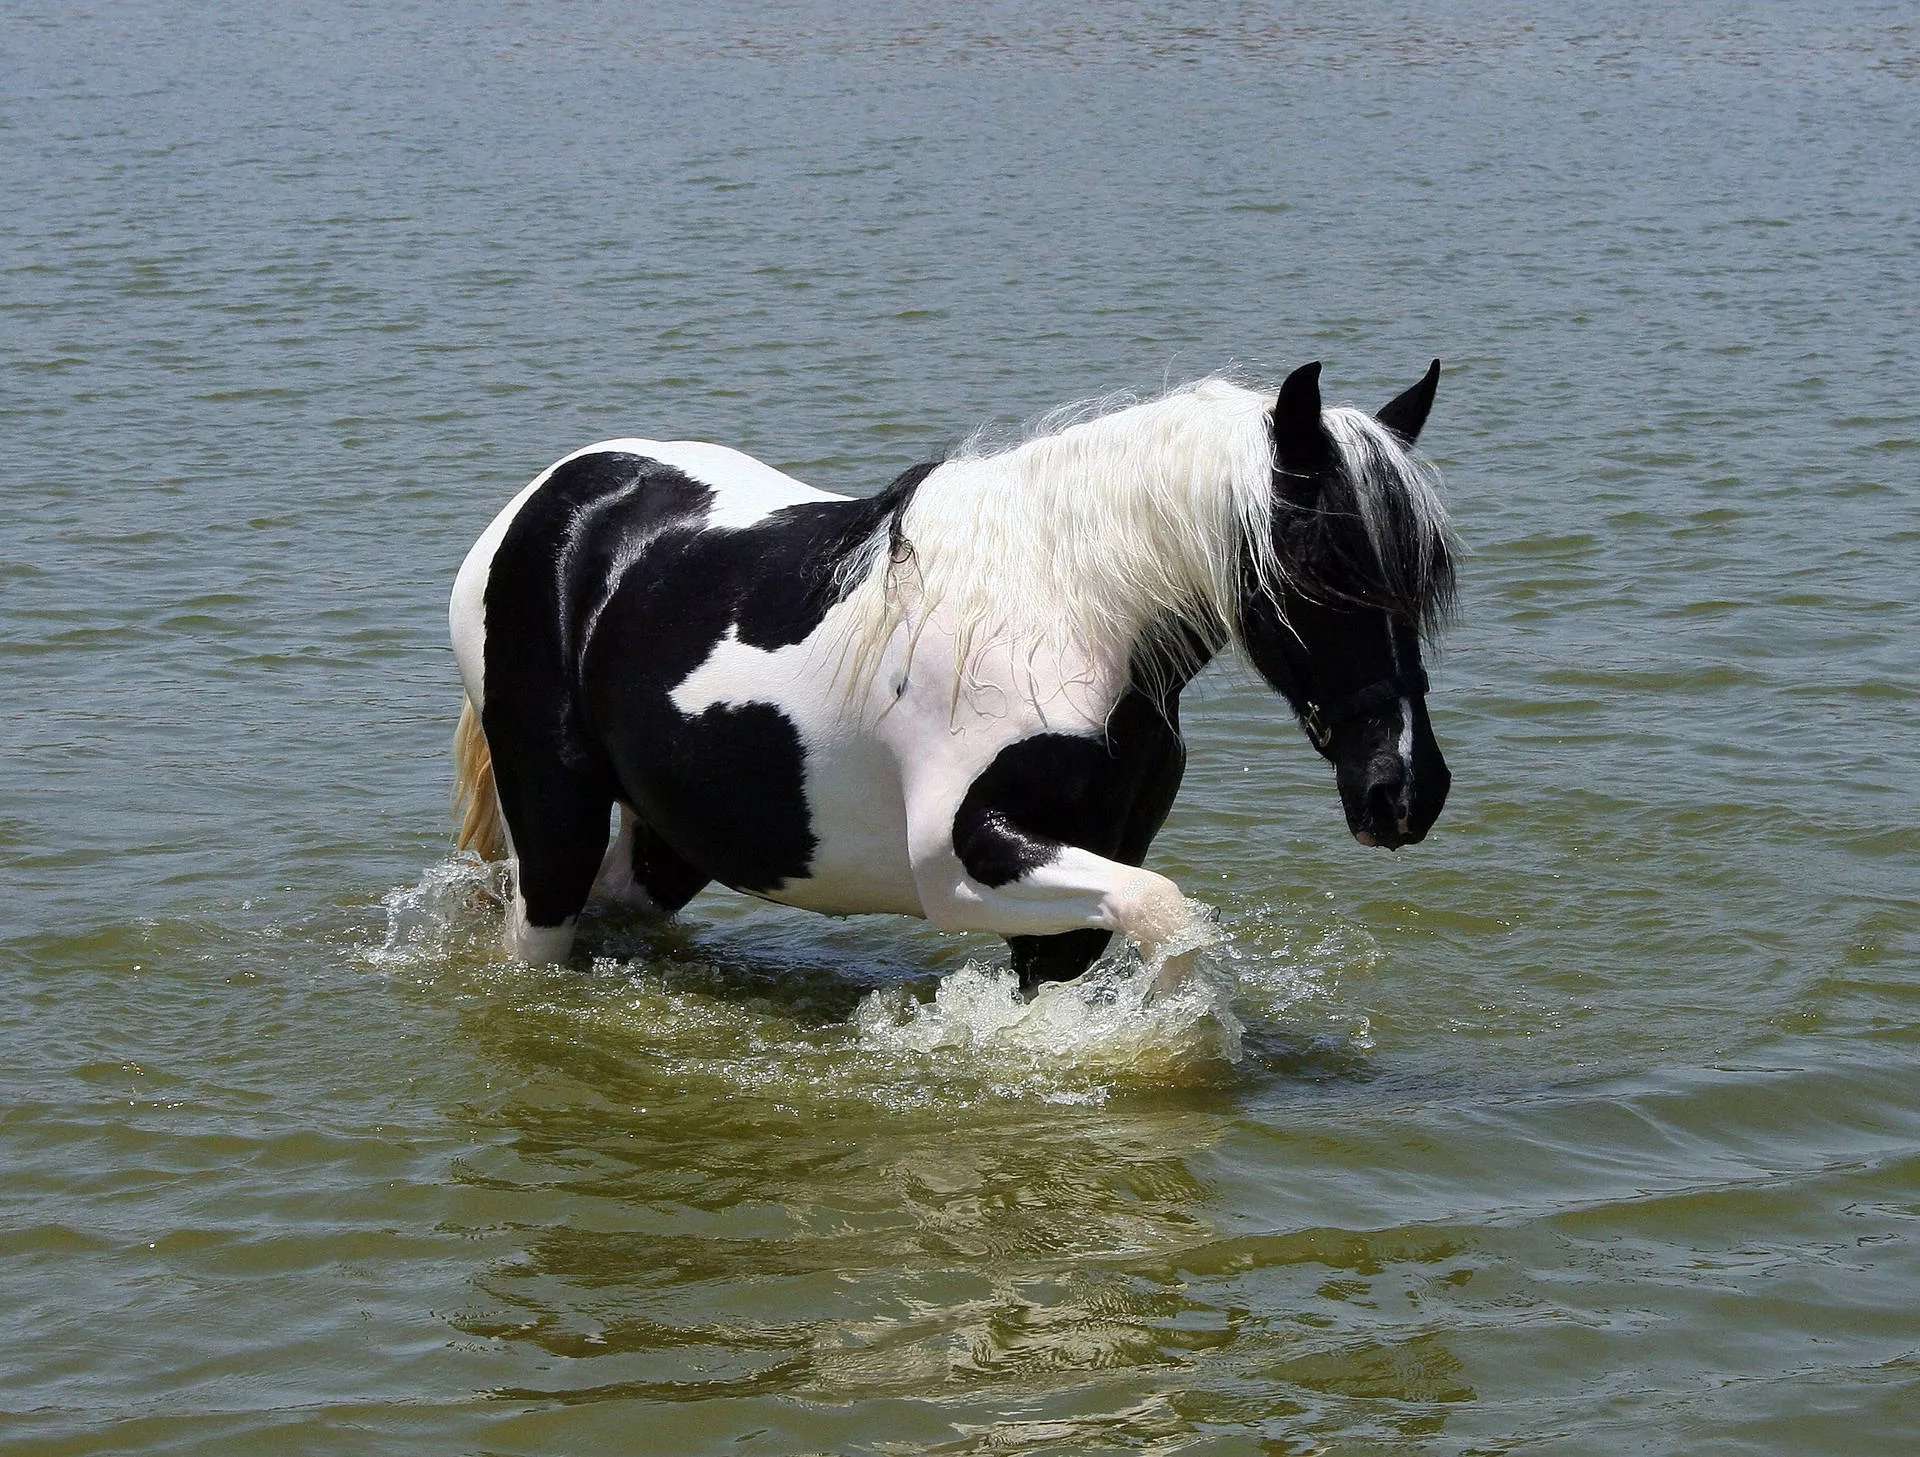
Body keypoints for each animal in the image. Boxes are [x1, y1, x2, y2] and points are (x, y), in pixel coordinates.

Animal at [449, 360, 1456, 994]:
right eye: (1319, 566)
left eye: (1426, 579)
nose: (1405, 790)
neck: (1063, 612)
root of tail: (549, 501)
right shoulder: (964, 862)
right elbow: (1169, 917)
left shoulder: (1081, 876)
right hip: (556, 828)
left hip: (676, 834)